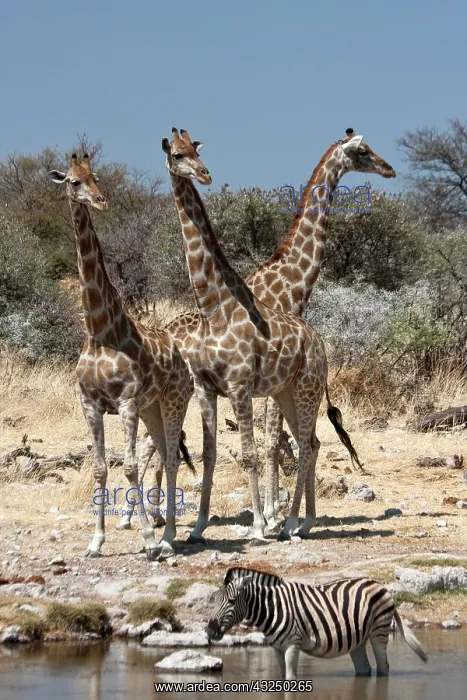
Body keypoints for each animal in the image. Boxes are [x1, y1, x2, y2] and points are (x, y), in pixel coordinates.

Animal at [47, 153, 193, 559]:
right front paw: (96, 542)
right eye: (73, 181)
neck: (99, 333)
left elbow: (127, 466)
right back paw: (164, 531)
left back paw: (168, 537)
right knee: (162, 451)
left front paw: (147, 540)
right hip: (151, 408)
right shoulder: (90, 404)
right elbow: (99, 467)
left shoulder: (125, 402)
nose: (100, 201)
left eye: (95, 177)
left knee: (170, 456)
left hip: (174, 401)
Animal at [138, 128, 395, 531]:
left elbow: (272, 443)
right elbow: (269, 443)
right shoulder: (256, 386)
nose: (389, 168)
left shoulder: (264, 384)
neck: (293, 280)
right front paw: (271, 515)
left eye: (195, 150)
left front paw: (273, 514)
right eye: (364, 151)